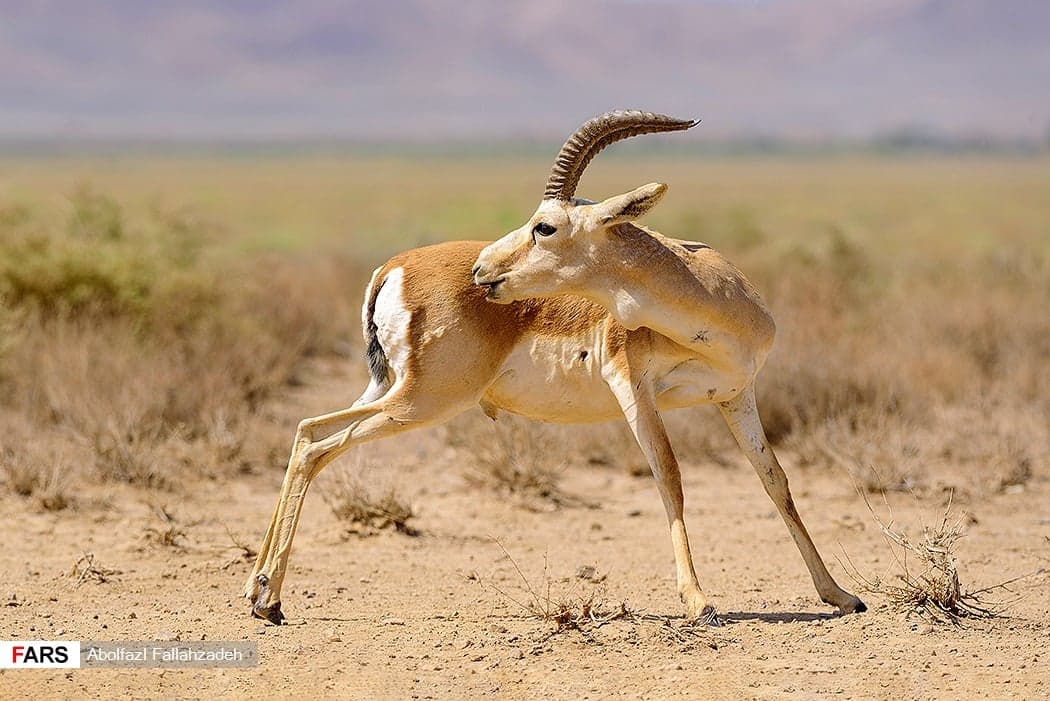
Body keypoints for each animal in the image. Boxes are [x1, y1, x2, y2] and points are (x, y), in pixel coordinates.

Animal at [244, 110, 866, 625]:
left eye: (545, 226)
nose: (482, 269)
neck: (714, 300)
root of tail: (392, 266)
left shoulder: (736, 395)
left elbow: (776, 483)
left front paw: (840, 595)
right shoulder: (633, 387)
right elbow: (670, 477)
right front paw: (700, 602)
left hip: (389, 390)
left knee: (308, 437)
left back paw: (259, 593)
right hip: (423, 400)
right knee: (316, 436)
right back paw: (268, 597)